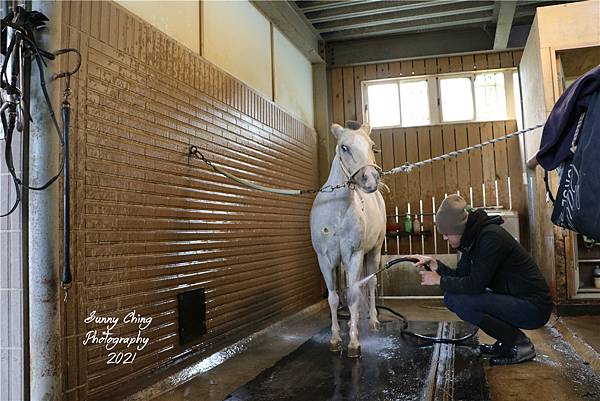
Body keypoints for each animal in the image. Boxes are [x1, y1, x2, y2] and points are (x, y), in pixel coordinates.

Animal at [312, 121, 386, 356]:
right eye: (344, 147)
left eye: (372, 146)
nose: (370, 179)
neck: (337, 212)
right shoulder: (325, 259)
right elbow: (333, 298)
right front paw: (335, 339)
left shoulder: (355, 255)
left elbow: (353, 294)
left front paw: (354, 342)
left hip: (374, 251)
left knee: (370, 283)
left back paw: (372, 321)